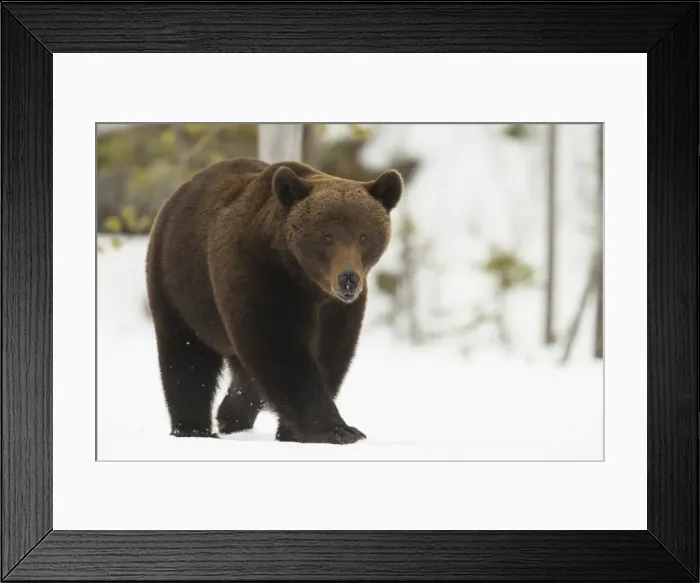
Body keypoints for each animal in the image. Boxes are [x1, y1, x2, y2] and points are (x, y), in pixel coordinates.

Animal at [145, 156, 403, 445]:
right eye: (327, 236)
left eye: (363, 236)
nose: (348, 278)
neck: (304, 281)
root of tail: (181, 190)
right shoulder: (259, 278)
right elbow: (279, 350)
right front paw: (337, 430)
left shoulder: (336, 309)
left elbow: (330, 353)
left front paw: (293, 431)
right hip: (179, 285)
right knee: (186, 356)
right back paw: (194, 428)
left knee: (242, 373)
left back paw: (230, 415)